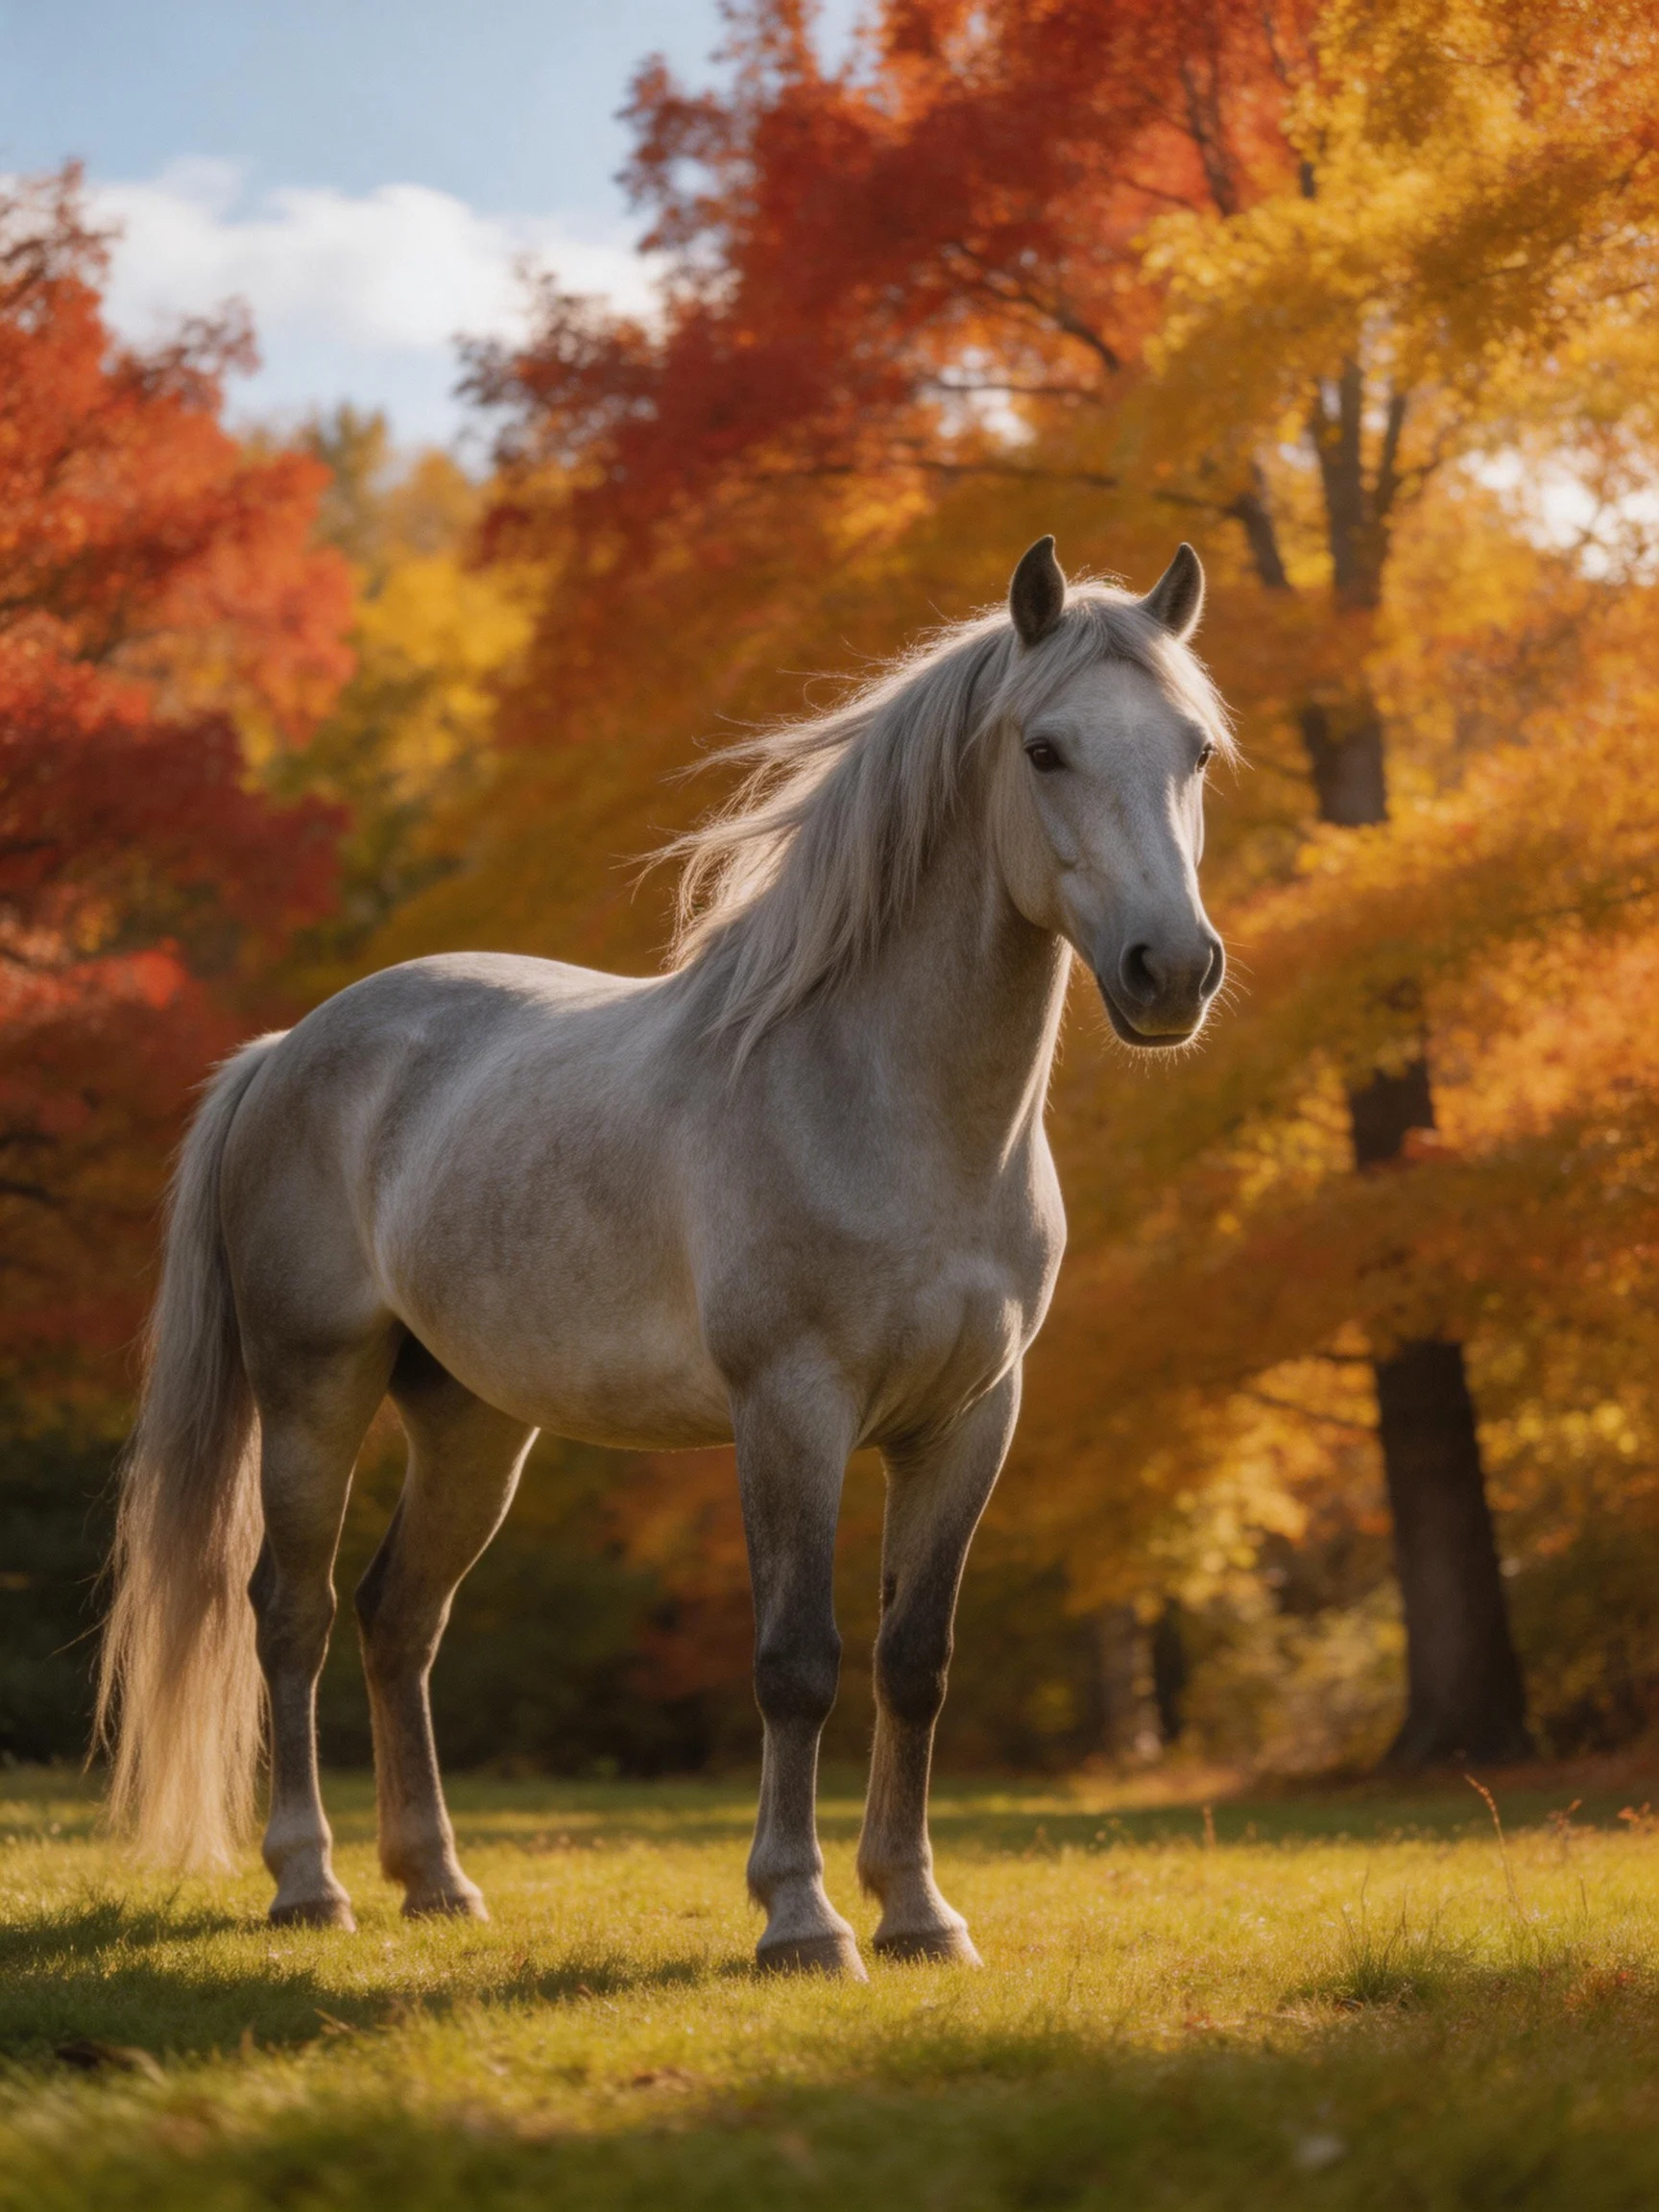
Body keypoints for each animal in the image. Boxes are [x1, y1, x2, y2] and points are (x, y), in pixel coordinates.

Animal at [96, 533, 1231, 1978]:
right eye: (1045, 750)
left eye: (1196, 751)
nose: (1171, 971)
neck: (883, 1106)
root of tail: (287, 1049)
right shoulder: (791, 1410)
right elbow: (797, 1661)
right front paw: (802, 1916)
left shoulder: (972, 1418)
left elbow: (915, 1662)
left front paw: (920, 1912)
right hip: (314, 1394)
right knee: (287, 1613)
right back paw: (311, 1885)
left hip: (471, 1423)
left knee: (400, 1617)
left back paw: (439, 1882)